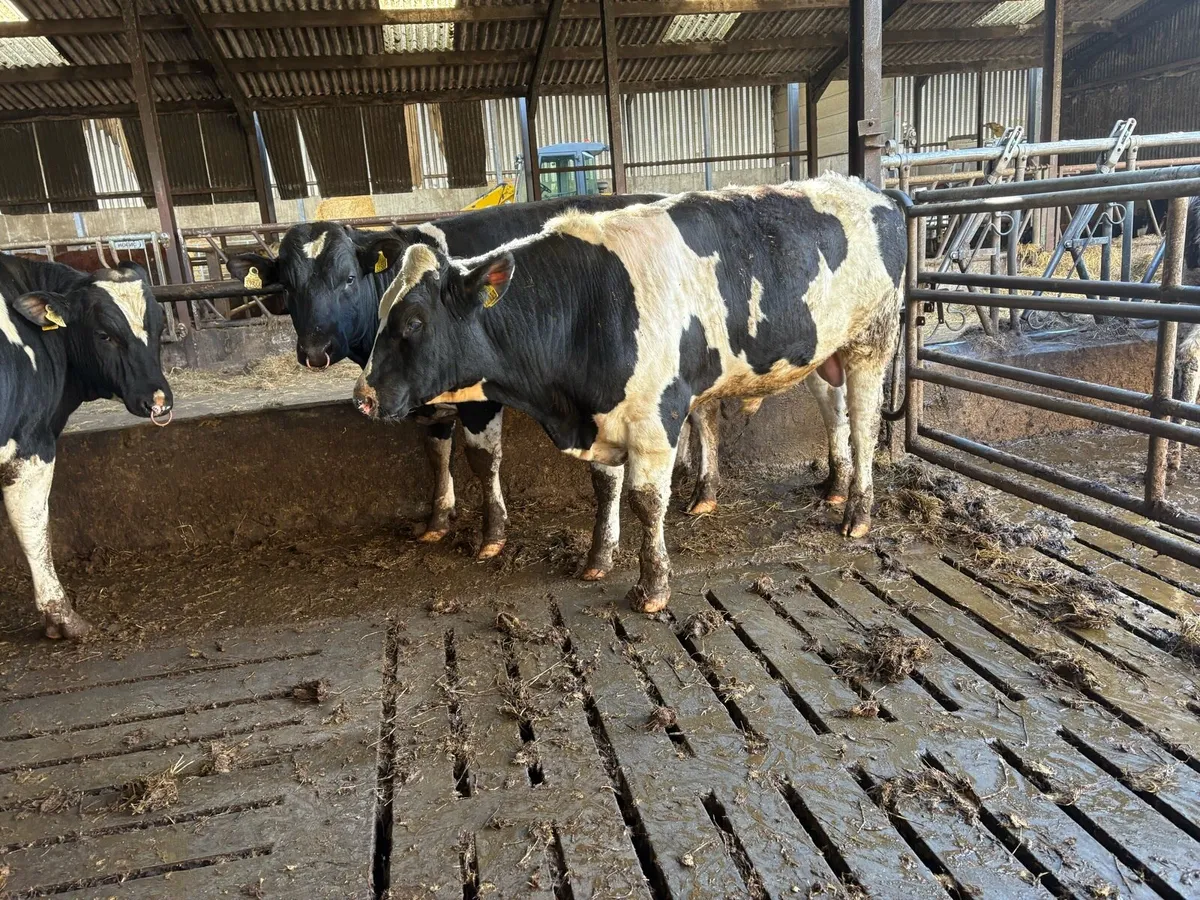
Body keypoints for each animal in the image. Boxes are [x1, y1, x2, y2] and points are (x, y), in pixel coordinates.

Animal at [1, 255, 173, 639]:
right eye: (104, 334)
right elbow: (33, 526)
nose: (159, 400)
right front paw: (62, 617)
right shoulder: (31, 444)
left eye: (160, 327)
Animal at [225, 195, 756, 579]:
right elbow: (435, 452)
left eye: (349, 278)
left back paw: (704, 490)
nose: (315, 350)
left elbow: (482, 459)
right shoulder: (427, 398)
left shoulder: (478, 396)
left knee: (704, 414)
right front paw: (437, 520)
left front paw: (492, 534)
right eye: (285, 286)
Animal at [352, 175, 905, 613]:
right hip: (824, 352)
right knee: (834, 413)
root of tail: (870, 187)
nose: (363, 396)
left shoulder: (654, 418)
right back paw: (834, 486)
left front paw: (652, 586)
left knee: (864, 425)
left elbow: (646, 500)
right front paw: (598, 557)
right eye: (379, 313)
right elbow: (604, 487)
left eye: (414, 321)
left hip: (871, 341)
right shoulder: (601, 415)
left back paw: (857, 514)